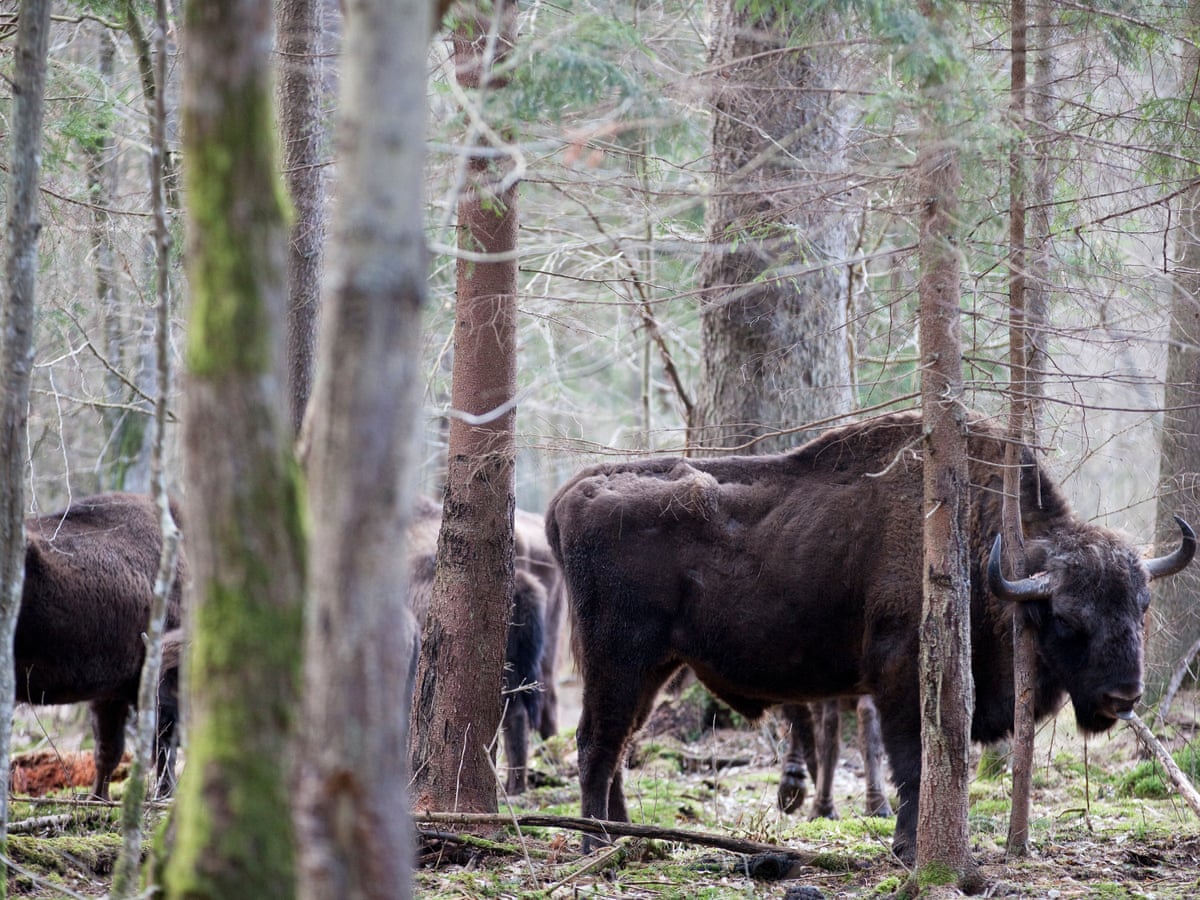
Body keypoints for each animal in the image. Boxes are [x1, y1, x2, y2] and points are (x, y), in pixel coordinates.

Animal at [545, 410, 1195, 860]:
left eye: (1141, 605)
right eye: (1066, 616)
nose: (1123, 696)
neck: (983, 544)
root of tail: (570, 493)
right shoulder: (901, 678)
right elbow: (912, 761)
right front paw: (908, 850)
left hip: (656, 667)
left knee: (619, 742)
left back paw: (626, 838)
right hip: (617, 658)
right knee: (597, 742)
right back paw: (594, 845)